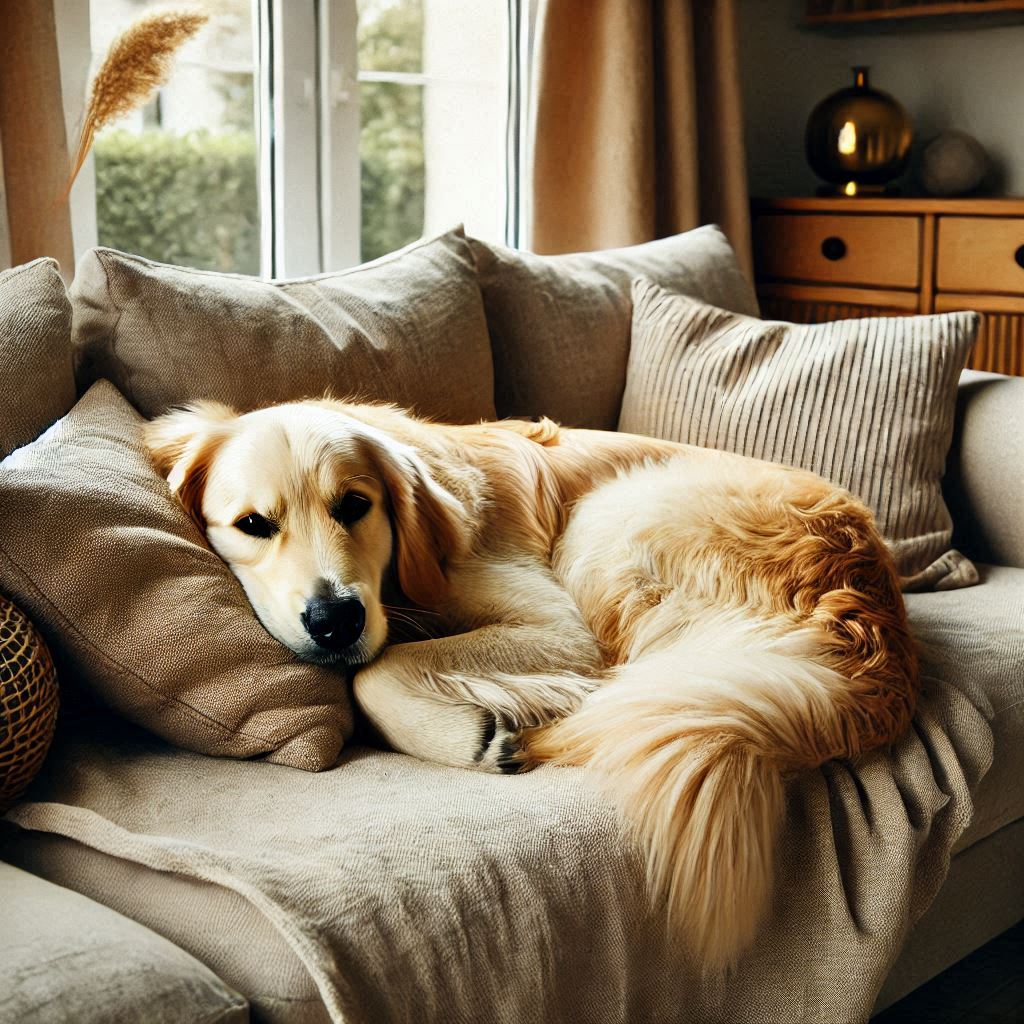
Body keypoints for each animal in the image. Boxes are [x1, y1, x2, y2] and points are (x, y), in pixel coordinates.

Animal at [146, 397, 921, 966]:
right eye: (253, 523)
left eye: (354, 506)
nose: (335, 619)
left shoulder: (556, 625)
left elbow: (378, 667)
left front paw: (469, 734)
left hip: (612, 518)